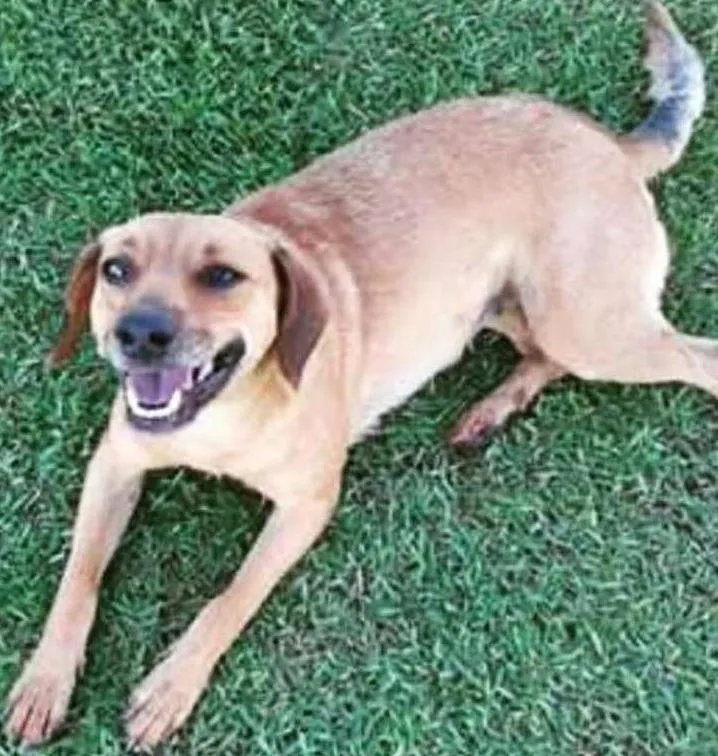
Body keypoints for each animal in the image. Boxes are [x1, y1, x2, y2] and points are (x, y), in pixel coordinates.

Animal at [6, 2, 710, 749]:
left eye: (222, 276)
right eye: (117, 270)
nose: (138, 334)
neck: (228, 412)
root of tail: (611, 144)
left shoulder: (307, 505)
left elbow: (230, 598)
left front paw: (172, 687)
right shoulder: (115, 461)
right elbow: (78, 578)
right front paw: (45, 681)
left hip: (589, 324)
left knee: (695, 358)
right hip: (506, 313)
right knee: (545, 357)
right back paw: (490, 410)